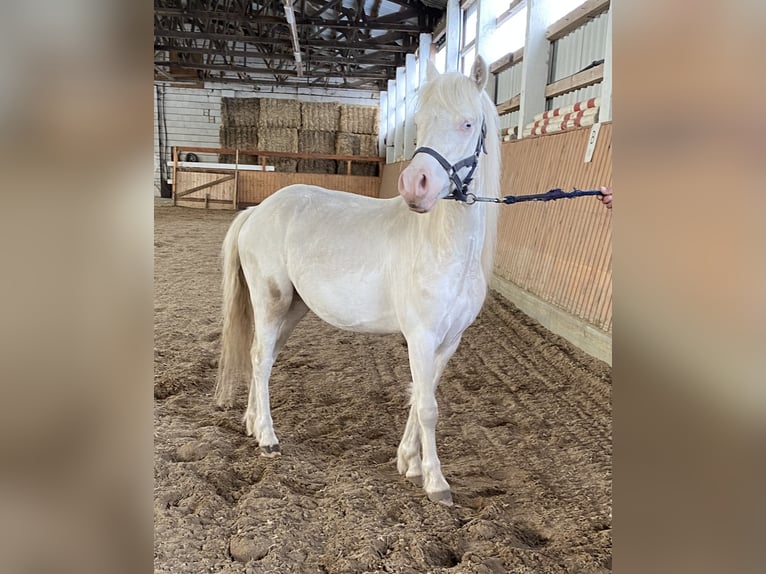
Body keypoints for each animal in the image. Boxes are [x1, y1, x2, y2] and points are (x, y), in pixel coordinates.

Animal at [214, 56, 501, 505]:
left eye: (467, 123)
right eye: (421, 123)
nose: (414, 185)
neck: (442, 247)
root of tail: (257, 211)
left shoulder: (448, 342)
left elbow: (420, 396)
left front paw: (409, 463)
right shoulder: (420, 337)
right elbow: (428, 407)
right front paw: (436, 482)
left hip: (293, 308)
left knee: (264, 355)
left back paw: (251, 422)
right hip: (270, 300)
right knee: (260, 358)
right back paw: (268, 438)